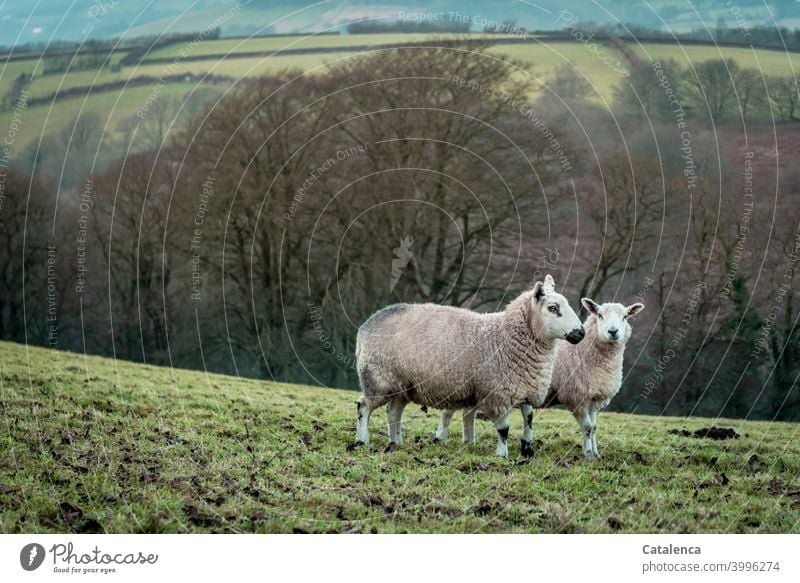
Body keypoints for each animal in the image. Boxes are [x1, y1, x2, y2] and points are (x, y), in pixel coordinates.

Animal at [354, 276, 584, 458]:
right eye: (553, 308)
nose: (580, 332)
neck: (505, 337)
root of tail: (366, 325)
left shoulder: (526, 388)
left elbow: (528, 420)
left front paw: (527, 450)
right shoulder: (496, 393)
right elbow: (504, 429)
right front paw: (502, 455)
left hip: (403, 385)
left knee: (394, 412)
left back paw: (395, 442)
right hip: (378, 379)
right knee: (364, 406)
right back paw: (362, 440)